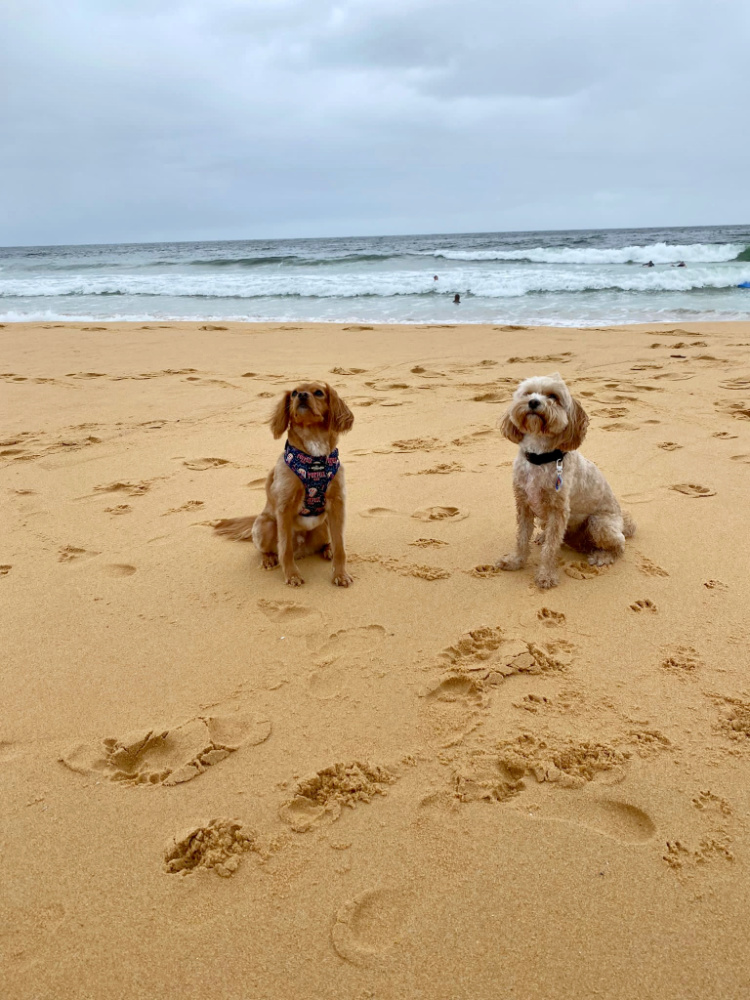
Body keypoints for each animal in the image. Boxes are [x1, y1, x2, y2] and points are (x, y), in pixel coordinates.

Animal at [216, 380, 356, 584]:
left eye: (318, 392)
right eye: (294, 393)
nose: (302, 396)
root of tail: (303, 550)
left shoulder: (337, 503)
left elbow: (340, 547)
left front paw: (340, 574)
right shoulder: (284, 506)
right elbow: (285, 548)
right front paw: (292, 575)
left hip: (324, 525)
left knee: (327, 542)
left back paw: (327, 549)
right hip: (264, 525)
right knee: (268, 549)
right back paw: (268, 559)